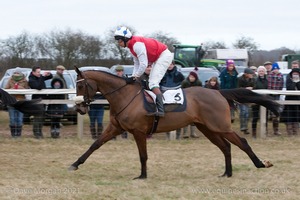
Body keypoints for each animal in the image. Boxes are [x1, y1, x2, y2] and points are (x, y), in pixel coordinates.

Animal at [68, 67, 282, 178]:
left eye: (81, 85)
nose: (80, 108)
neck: (125, 96)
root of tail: (218, 92)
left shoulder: (138, 132)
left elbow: (143, 156)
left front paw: (142, 175)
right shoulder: (115, 128)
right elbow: (94, 145)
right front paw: (75, 164)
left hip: (220, 126)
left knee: (241, 143)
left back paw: (260, 164)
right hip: (207, 128)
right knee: (226, 147)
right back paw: (227, 173)